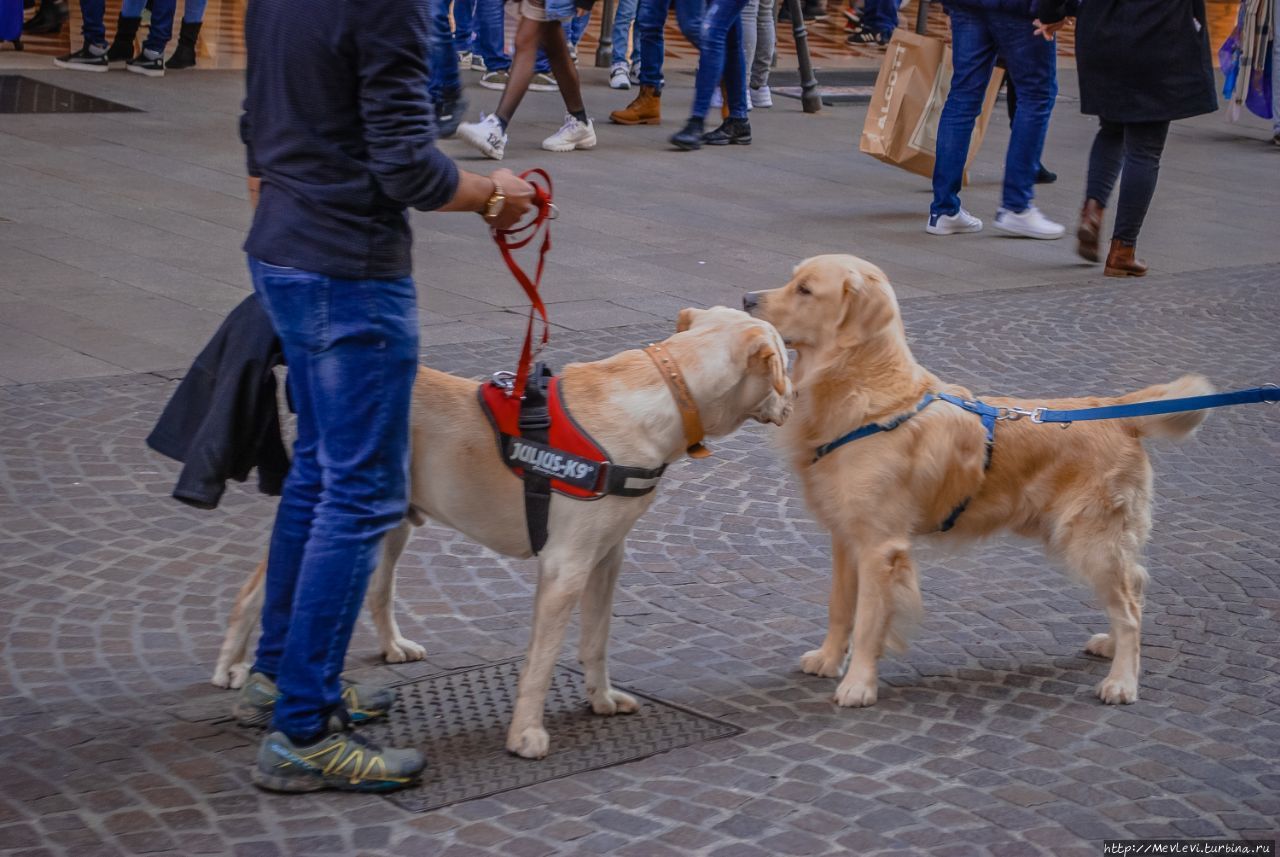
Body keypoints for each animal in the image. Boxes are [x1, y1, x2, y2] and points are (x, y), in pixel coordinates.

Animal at [211, 306, 788, 757]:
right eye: (787, 356)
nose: (794, 399)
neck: (669, 393)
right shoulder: (565, 568)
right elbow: (541, 662)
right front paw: (525, 734)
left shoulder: (607, 558)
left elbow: (596, 640)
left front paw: (600, 700)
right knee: (254, 590)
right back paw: (233, 668)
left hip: (389, 523)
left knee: (377, 590)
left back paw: (392, 647)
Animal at [742, 255, 1208, 711]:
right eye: (793, 280)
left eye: (805, 290)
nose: (746, 299)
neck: (868, 396)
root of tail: (1118, 413)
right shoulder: (845, 535)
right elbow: (839, 606)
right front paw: (827, 659)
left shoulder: (880, 547)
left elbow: (869, 621)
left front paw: (858, 685)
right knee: (1136, 585)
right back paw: (1111, 646)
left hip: (1090, 539)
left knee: (1128, 608)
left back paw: (1122, 681)